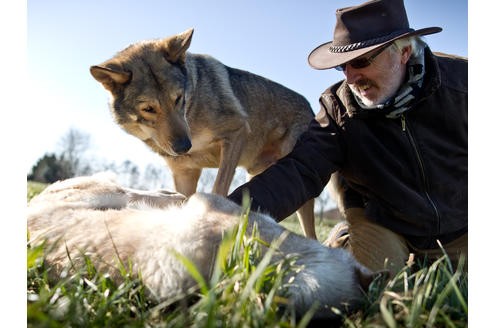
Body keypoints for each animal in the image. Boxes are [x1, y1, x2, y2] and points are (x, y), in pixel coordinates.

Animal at [90, 28, 318, 238]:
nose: (184, 147)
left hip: (300, 185)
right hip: (261, 175)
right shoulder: (184, 173)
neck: (191, 113)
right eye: (149, 109)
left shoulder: (237, 132)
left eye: (178, 98)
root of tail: (311, 108)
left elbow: (218, 189)